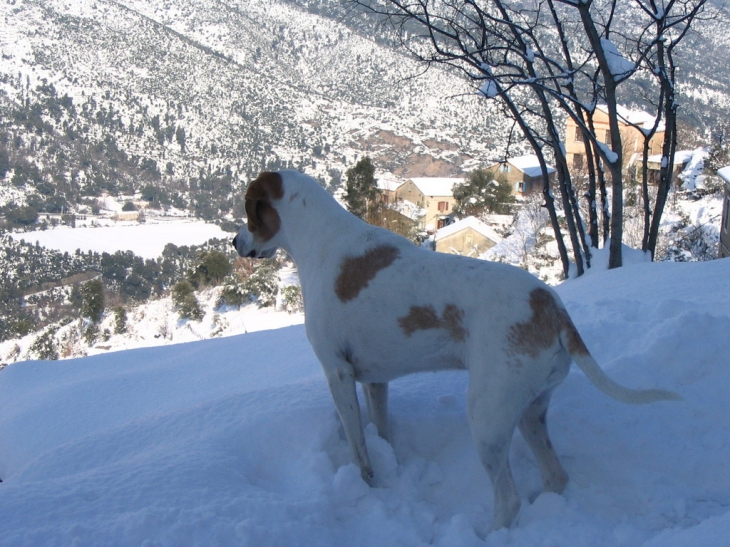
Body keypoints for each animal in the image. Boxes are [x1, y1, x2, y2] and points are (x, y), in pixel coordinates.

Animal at [232, 170, 676, 532]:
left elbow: (360, 449)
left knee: (508, 500)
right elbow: (382, 432)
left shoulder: (338, 373)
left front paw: (367, 483)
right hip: (530, 413)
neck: (320, 240)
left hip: (487, 418)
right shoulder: (375, 380)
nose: (235, 242)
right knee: (555, 477)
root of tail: (552, 307)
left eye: (249, 212)